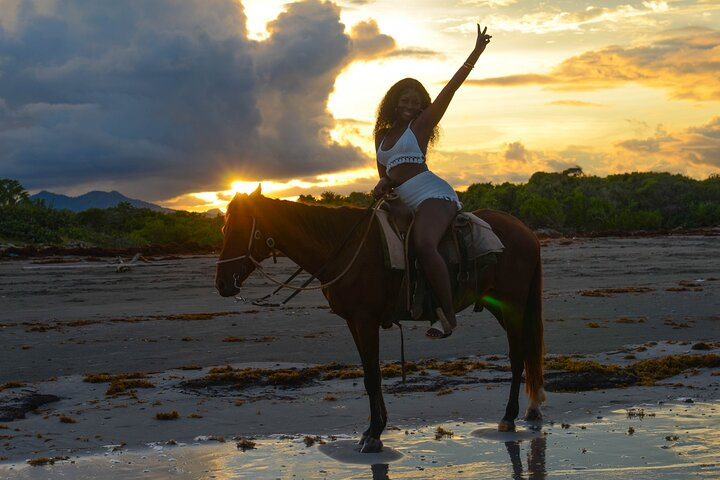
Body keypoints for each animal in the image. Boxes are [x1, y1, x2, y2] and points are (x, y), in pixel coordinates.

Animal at [217, 188, 544, 454]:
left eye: (240, 229)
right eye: (223, 227)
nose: (222, 284)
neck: (344, 247)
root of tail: (526, 231)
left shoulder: (365, 320)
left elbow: (373, 376)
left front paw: (374, 435)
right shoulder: (354, 321)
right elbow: (368, 374)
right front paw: (373, 430)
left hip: (513, 304)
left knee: (517, 355)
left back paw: (509, 417)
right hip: (500, 306)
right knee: (526, 350)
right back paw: (532, 409)